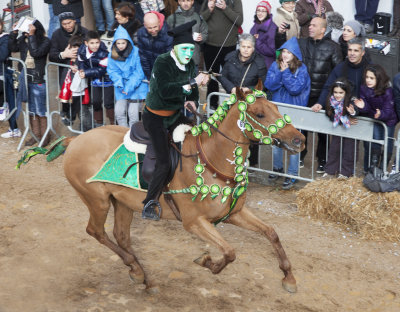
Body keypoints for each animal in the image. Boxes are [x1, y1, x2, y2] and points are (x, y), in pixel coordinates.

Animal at [61, 83, 304, 292]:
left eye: (277, 108)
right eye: (260, 114)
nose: (299, 139)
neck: (211, 161)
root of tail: (75, 141)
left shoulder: (235, 213)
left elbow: (271, 233)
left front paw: (289, 277)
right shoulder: (194, 222)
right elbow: (229, 252)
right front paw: (206, 261)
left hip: (122, 202)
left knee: (121, 236)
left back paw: (139, 273)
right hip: (97, 201)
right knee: (95, 231)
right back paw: (135, 267)